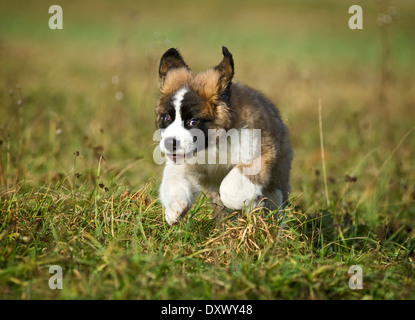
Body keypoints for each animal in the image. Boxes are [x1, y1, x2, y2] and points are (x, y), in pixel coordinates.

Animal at [154, 47, 294, 225]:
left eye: (193, 121)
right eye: (167, 119)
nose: (169, 143)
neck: (214, 143)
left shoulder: (259, 156)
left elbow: (229, 188)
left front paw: (243, 204)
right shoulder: (185, 165)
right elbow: (174, 180)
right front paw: (175, 208)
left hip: (277, 179)